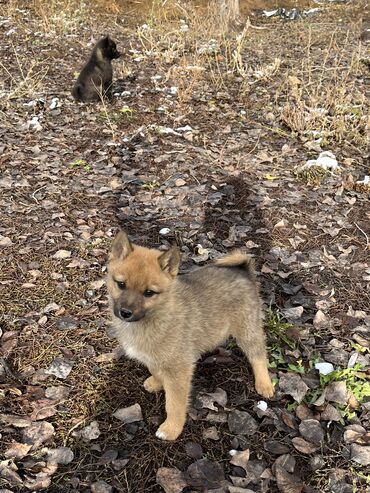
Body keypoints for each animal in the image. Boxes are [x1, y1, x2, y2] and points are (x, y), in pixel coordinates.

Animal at [107, 231, 274, 438]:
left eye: (149, 293)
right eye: (121, 284)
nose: (125, 312)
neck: (155, 317)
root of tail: (244, 271)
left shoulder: (180, 369)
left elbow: (174, 404)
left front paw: (171, 429)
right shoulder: (156, 358)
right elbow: (155, 370)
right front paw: (157, 382)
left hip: (247, 329)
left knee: (258, 355)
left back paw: (264, 384)